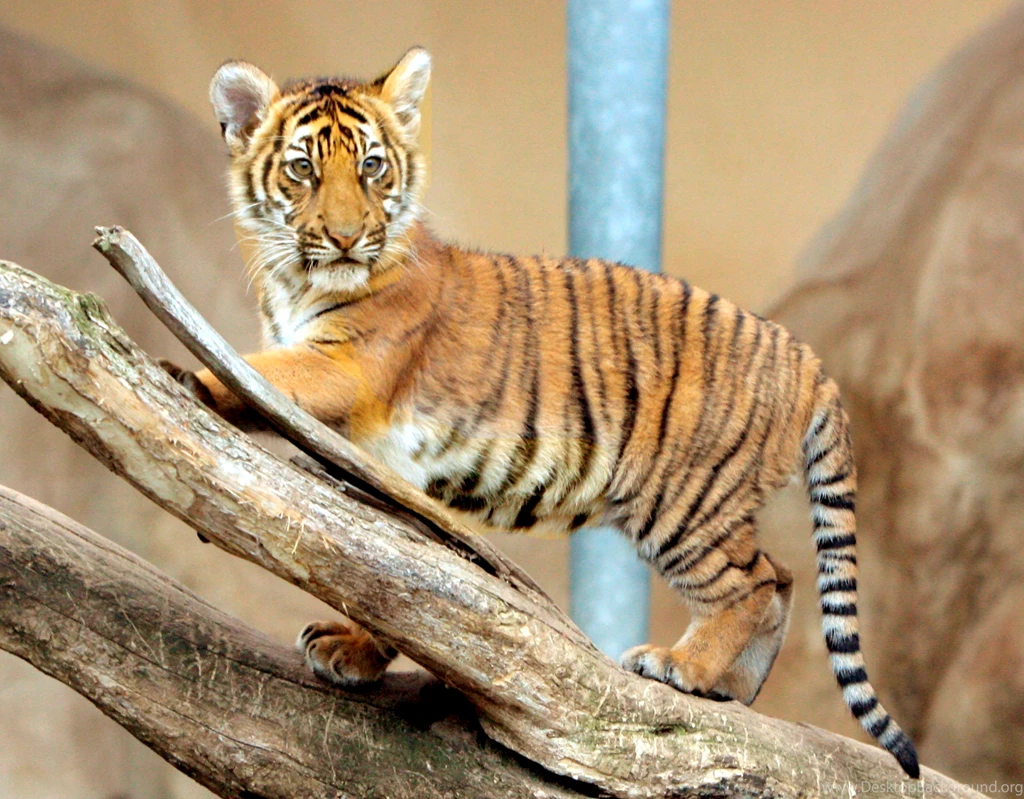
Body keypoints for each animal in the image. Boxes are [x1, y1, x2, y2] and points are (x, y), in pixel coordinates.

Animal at [164, 47, 919, 777]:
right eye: (303, 170)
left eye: (372, 167)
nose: (349, 238)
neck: (296, 281)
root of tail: (805, 356)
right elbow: (392, 568)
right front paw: (354, 646)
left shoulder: (345, 368)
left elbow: (262, 377)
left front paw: (186, 376)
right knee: (784, 576)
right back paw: (728, 689)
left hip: (684, 505)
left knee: (754, 582)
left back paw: (683, 668)